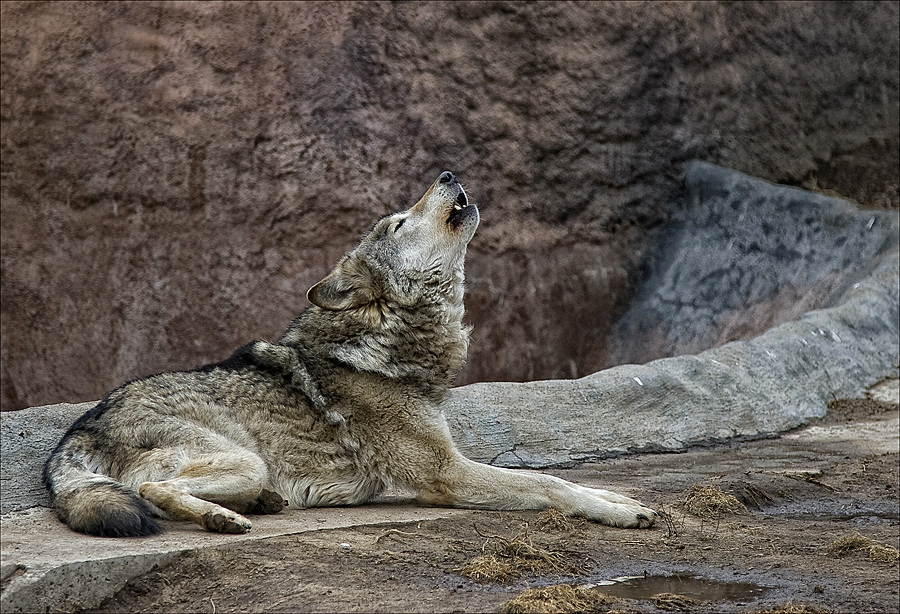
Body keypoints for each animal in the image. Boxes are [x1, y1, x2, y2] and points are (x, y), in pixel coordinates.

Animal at [42, 171, 656, 536]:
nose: (447, 173)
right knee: (151, 491)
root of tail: (71, 438)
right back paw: (222, 518)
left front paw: (615, 495)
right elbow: (550, 484)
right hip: (242, 457)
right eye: (399, 223)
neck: (384, 346)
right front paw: (622, 512)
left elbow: (561, 479)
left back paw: (255, 505)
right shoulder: (447, 473)